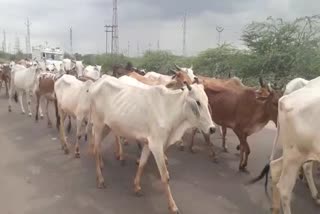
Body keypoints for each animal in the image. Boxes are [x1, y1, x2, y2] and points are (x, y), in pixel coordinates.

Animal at [87, 74, 215, 213]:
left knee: (97, 145)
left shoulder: (149, 144)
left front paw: (137, 187)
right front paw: (173, 206)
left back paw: (102, 164)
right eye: (197, 102)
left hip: (107, 126)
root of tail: (99, 81)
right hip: (98, 123)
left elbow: (142, 164)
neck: (170, 109)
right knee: (96, 148)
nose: (212, 129)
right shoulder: (157, 146)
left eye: (207, 101)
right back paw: (100, 179)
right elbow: (164, 176)